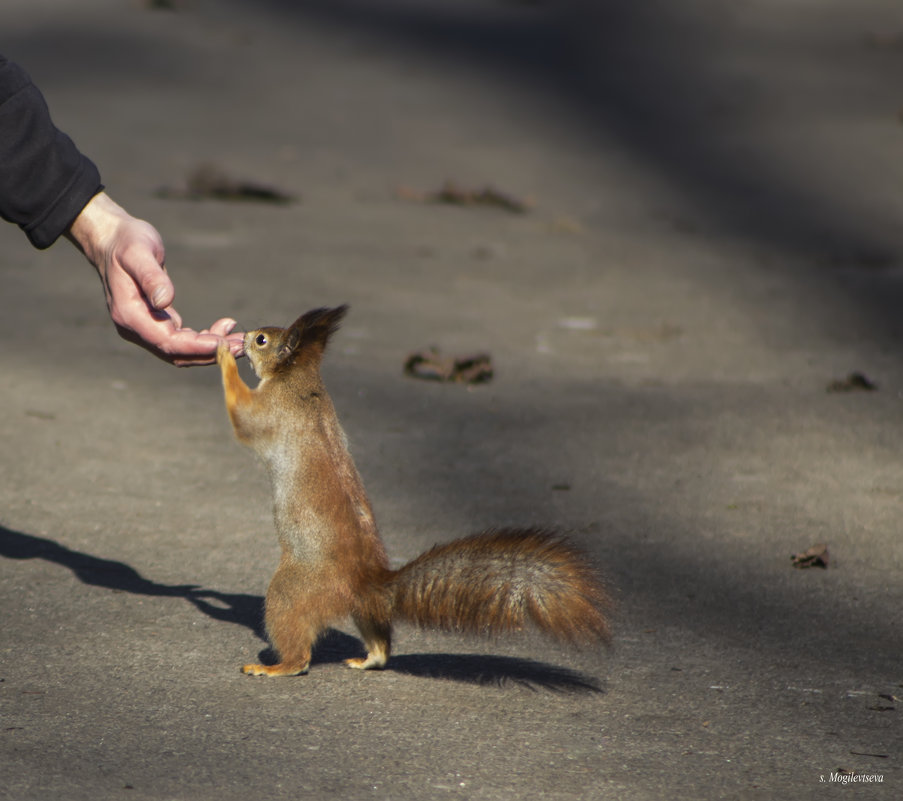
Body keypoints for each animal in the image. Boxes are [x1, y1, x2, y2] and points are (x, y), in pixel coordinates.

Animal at [215, 306, 612, 676]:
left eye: (262, 340)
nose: (244, 336)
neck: (298, 378)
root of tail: (365, 581)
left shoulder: (271, 409)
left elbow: (242, 417)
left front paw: (222, 355)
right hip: (360, 608)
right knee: (379, 642)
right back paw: (367, 659)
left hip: (292, 591)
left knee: (298, 654)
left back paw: (274, 667)